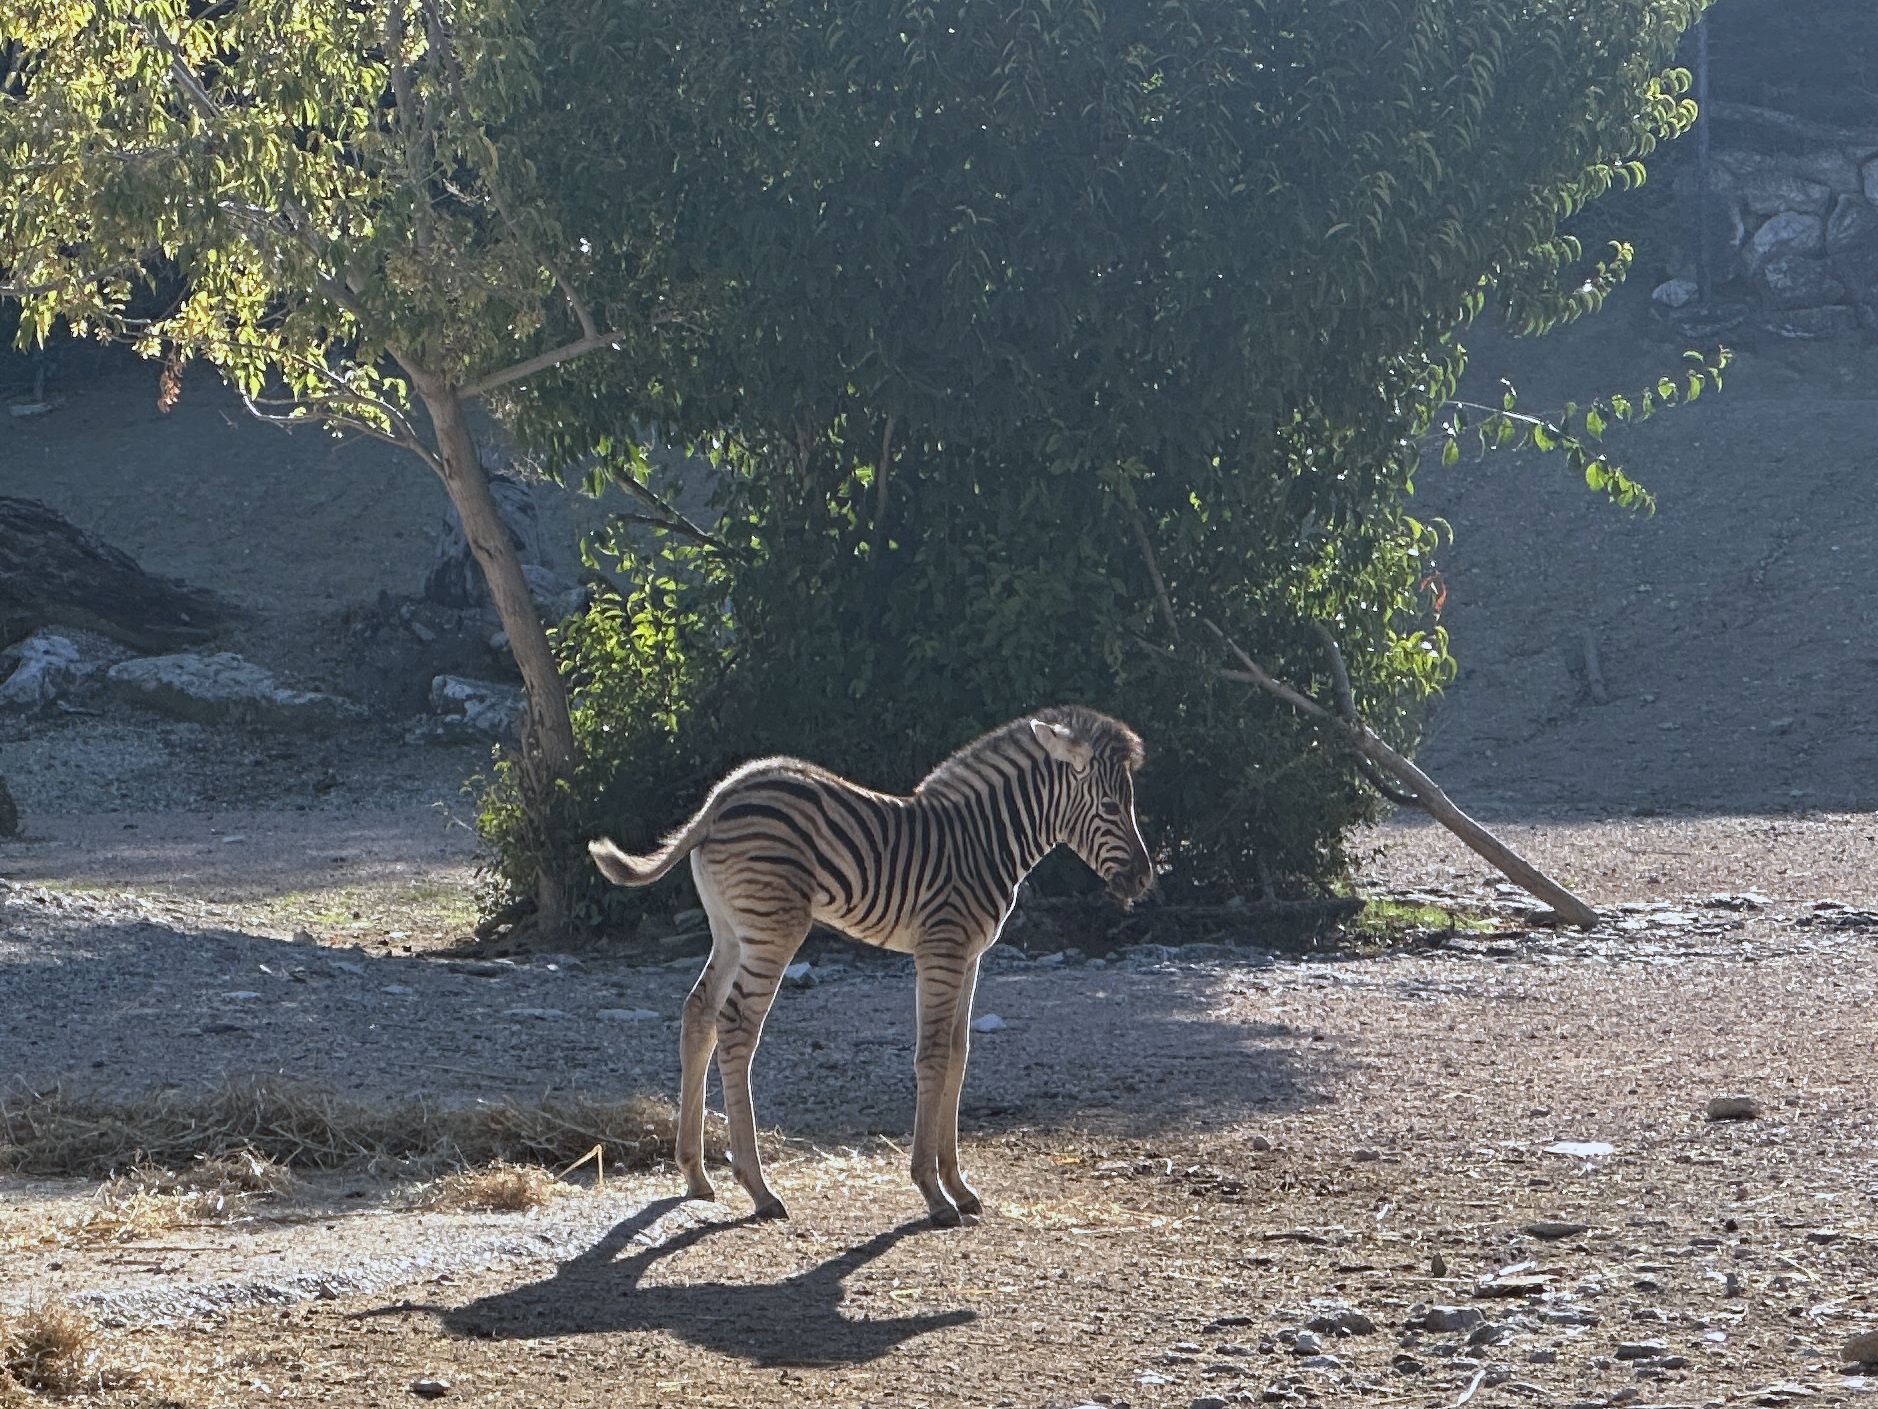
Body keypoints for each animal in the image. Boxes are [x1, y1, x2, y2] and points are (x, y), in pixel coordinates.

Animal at [585, 710, 1149, 1232]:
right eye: (1111, 806)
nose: (1145, 880)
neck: (983, 842)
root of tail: (721, 797)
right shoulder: (941, 950)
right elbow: (933, 1057)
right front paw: (932, 1193)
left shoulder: (971, 957)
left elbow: (959, 1055)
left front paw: (959, 1186)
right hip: (773, 928)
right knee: (737, 1027)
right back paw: (759, 1189)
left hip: (729, 928)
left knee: (699, 1013)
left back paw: (696, 1174)